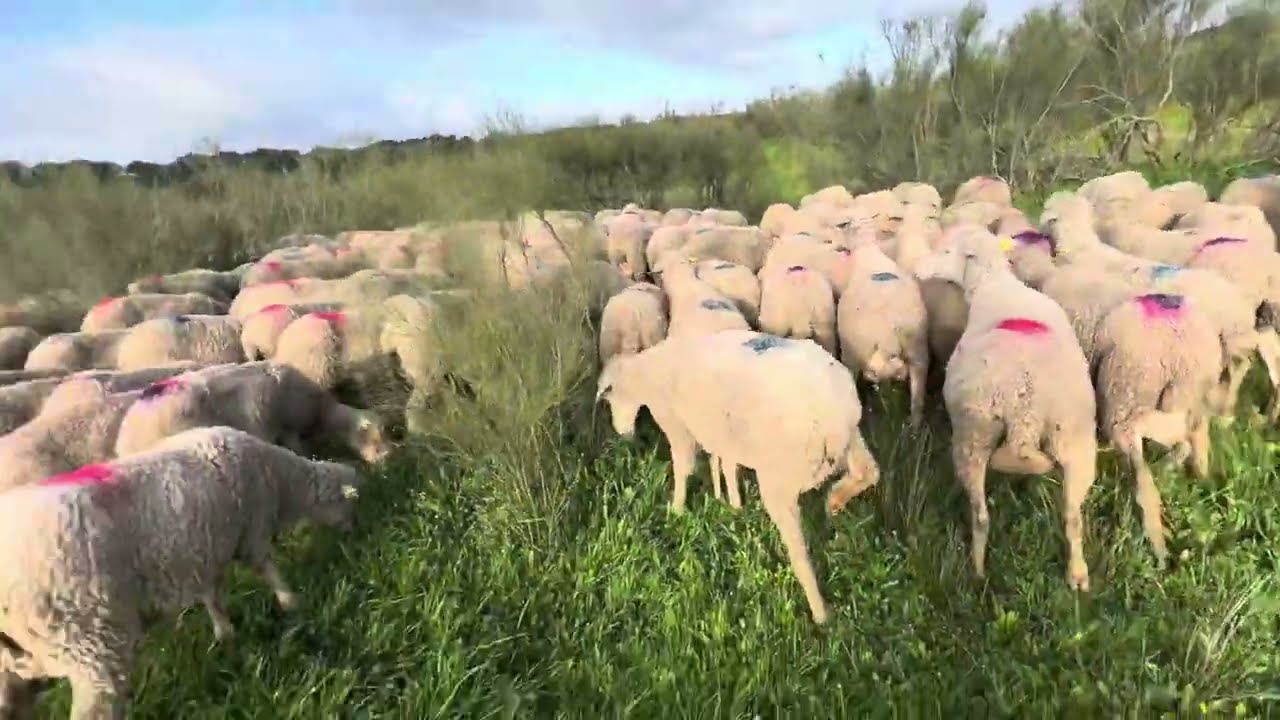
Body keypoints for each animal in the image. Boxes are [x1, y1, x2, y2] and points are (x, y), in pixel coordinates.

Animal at [0, 426, 362, 719]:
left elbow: (213, 595)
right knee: (96, 705)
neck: (278, 479)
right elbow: (267, 568)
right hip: (91, 642)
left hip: (36, 652)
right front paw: (290, 603)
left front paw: (225, 634)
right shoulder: (251, 532)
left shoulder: (207, 549)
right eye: (349, 504)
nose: (353, 532)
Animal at [595, 328, 880, 624]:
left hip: (779, 478)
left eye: (610, 399)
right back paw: (836, 499)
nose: (623, 434)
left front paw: (676, 510)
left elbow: (683, 467)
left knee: (800, 554)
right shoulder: (726, 434)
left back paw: (820, 612)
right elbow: (727, 465)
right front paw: (733, 504)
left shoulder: (676, 423)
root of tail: (835, 419)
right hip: (851, 440)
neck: (647, 375)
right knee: (869, 471)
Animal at [913, 229, 1098, 591]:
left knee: (981, 515)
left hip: (973, 434)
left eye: (946, 250)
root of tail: (1025, 406)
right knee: (1072, 516)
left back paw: (977, 571)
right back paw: (1078, 574)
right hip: (1075, 437)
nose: (917, 270)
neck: (995, 283)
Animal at [1093, 292, 1223, 566]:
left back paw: (1158, 550)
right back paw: (1196, 473)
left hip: (1125, 394)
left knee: (1144, 476)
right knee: (1195, 428)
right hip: (1191, 390)